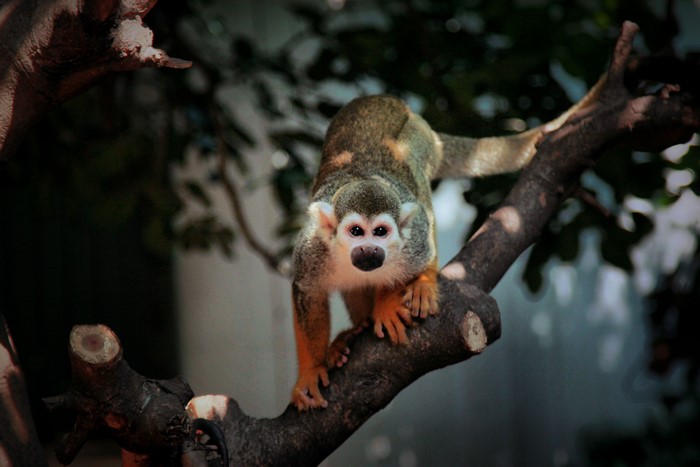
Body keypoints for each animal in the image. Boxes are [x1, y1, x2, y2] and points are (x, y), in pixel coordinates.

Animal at [290, 77, 605, 411]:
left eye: (380, 232)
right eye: (355, 231)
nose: (371, 251)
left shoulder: (410, 242)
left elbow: (420, 241)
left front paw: (388, 302)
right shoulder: (312, 248)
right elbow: (306, 291)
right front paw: (310, 372)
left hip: (419, 139)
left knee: (416, 180)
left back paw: (419, 284)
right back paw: (355, 330)